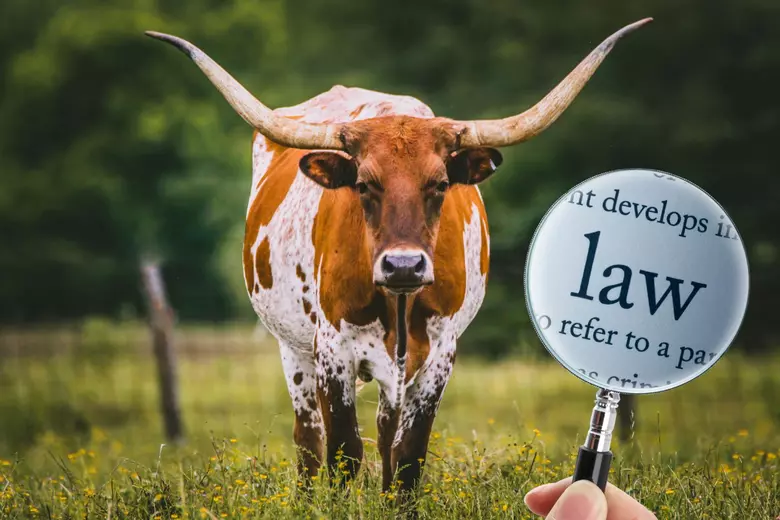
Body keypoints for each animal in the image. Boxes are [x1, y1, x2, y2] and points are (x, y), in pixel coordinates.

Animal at [146, 18, 650, 492]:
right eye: (364, 184)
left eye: (441, 184)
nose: (403, 265)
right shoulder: (332, 350)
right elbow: (343, 452)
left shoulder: (441, 354)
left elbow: (408, 454)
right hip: (293, 349)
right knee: (309, 441)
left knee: (385, 433)